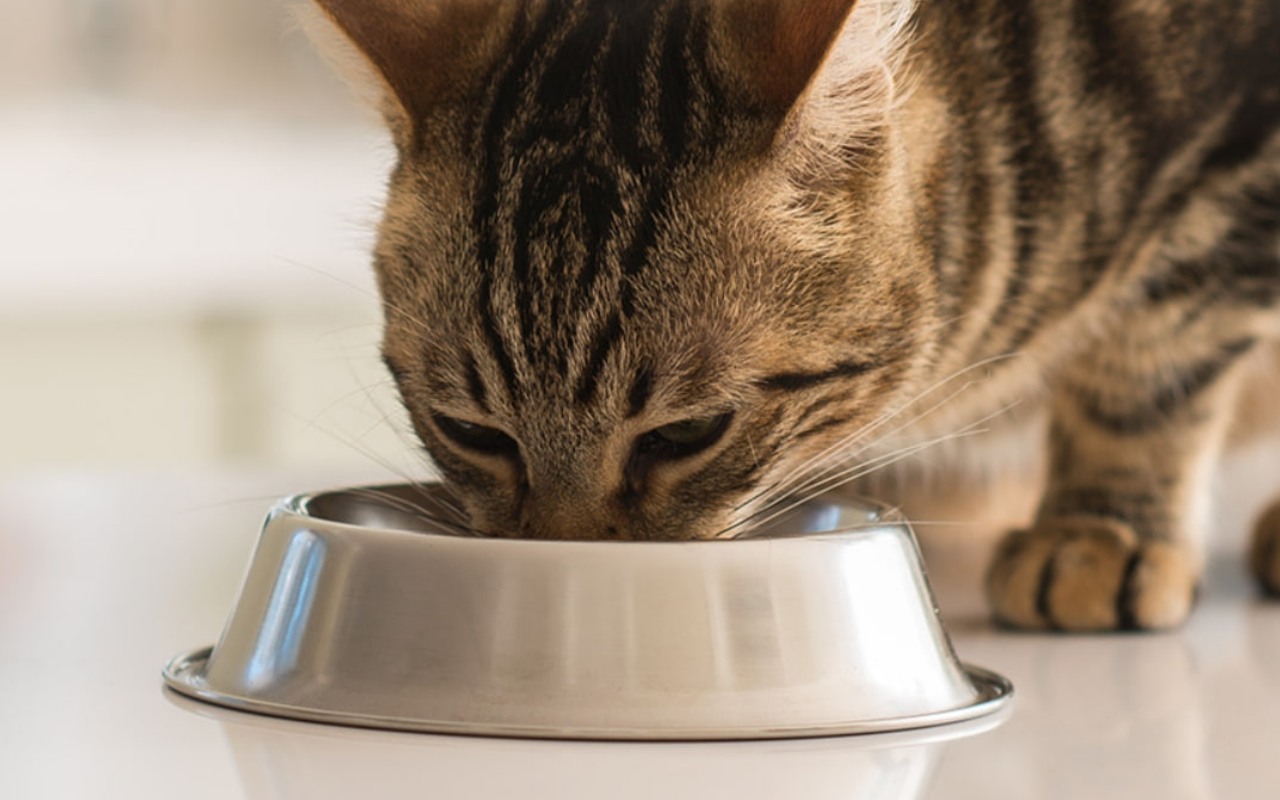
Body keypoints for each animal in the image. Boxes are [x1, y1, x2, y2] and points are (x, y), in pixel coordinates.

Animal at [309, 0, 1280, 629]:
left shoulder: (1235, 162)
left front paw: (1099, 529)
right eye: (471, 432)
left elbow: (1149, 369)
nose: (567, 562)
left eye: (685, 434)